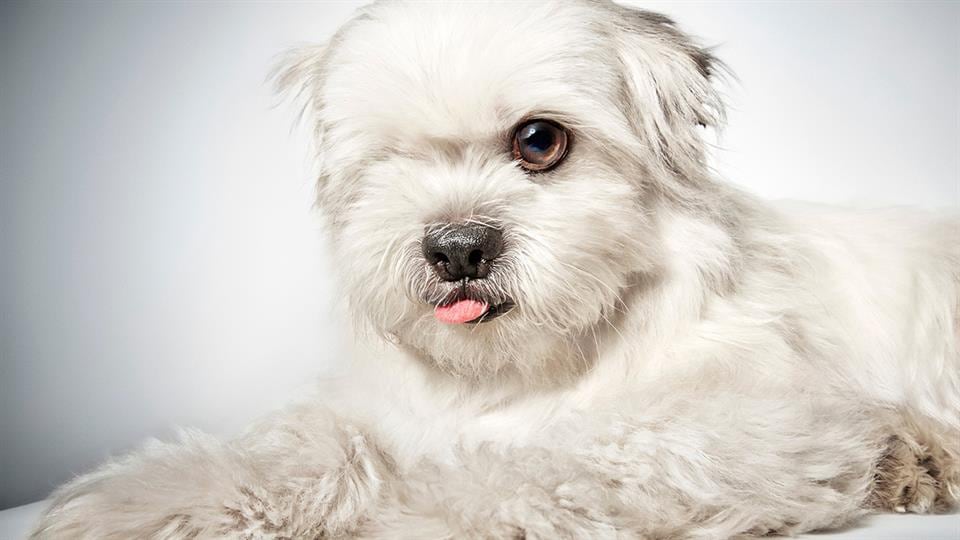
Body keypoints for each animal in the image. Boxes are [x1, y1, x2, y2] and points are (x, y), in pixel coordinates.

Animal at [31, 1, 960, 540]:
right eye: (392, 155)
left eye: (539, 141)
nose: (455, 249)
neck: (516, 373)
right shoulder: (378, 409)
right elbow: (301, 447)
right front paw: (155, 500)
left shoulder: (759, 429)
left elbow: (538, 471)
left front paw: (409, 515)